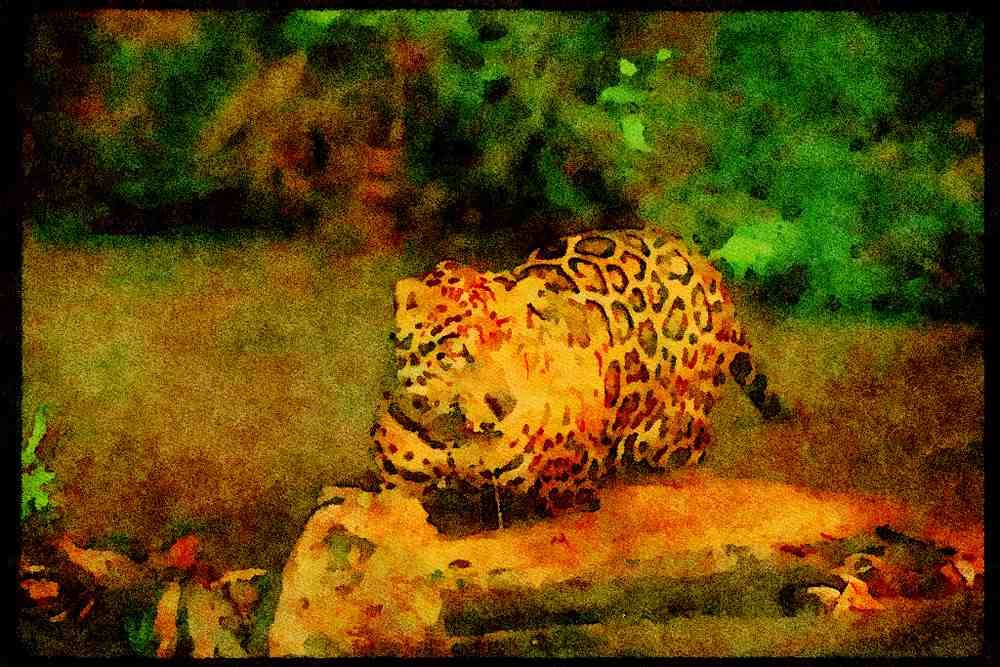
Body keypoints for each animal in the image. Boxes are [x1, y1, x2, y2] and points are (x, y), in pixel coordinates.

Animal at [370, 228, 789, 527]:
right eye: (458, 348)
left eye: (516, 343)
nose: (503, 402)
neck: (454, 438)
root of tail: (704, 266)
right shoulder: (397, 485)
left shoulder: (569, 487)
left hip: (675, 434)